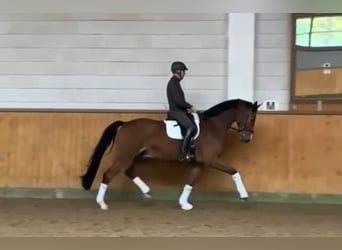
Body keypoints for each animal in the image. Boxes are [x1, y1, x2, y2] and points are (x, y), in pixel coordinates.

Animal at [81, 98, 262, 210]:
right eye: (252, 118)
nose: (247, 138)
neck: (214, 126)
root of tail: (125, 124)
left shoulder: (199, 163)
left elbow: (190, 182)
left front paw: (184, 204)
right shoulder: (211, 160)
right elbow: (234, 171)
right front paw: (244, 195)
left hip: (134, 155)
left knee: (128, 171)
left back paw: (146, 191)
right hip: (125, 155)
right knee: (109, 174)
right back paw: (102, 204)